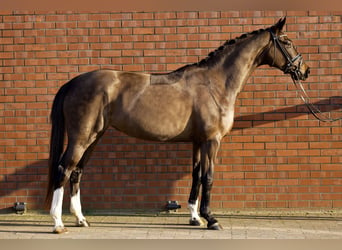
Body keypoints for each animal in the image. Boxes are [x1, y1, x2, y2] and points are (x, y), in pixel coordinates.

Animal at [45, 17, 310, 232]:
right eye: (287, 42)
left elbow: (196, 175)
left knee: (77, 172)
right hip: (81, 137)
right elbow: (208, 177)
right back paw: (57, 223)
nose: (305, 70)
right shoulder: (212, 141)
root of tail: (73, 82)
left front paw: (195, 217)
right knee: (63, 169)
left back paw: (81, 219)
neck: (215, 83)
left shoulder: (197, 141)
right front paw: (211, 219)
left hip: (94, 137)